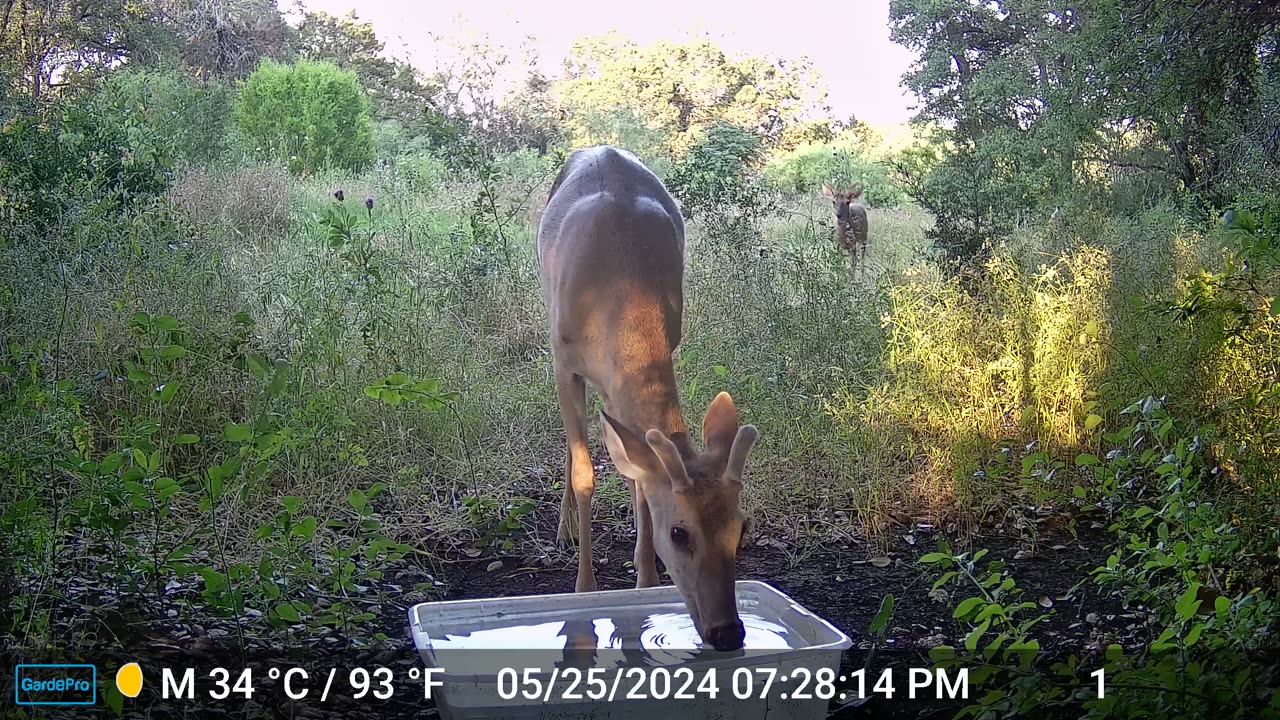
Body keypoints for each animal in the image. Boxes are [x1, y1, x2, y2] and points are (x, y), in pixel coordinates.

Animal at [532, 146, 752, 650]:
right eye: (680, 533)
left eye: (741, 527)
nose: (728, 632)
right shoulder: (563, 360)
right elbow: (585, 473)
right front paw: (585, 589)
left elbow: (640, 474)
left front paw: (646, 582)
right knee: (571, 446)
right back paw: (564, 530)